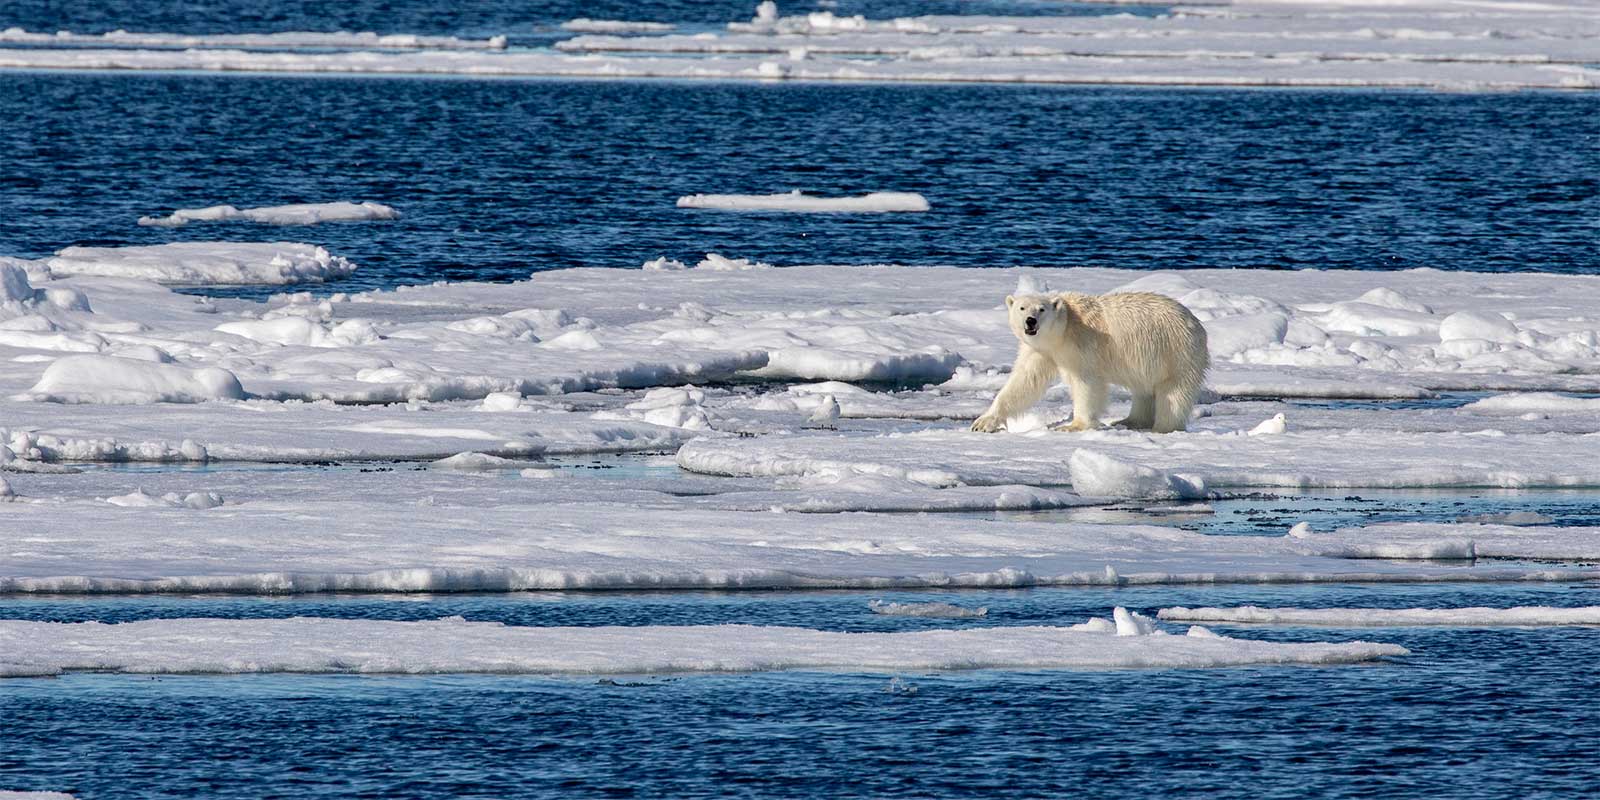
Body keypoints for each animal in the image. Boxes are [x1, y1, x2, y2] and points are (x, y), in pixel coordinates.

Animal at [970, 291, 1209, 434]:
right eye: (1021, 308)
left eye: (1041, 309)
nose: (1031, 321)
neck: (1063, 329)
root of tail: (1196, 323)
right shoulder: (1042, 350)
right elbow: (1024, 381)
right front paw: (983, 422)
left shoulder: (1083, 344)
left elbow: (1087, 382)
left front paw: (1073, 425)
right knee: (1143, 389)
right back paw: (1129, 421)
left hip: (1176, 352)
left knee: (1173, 393)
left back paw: (1163, 427)